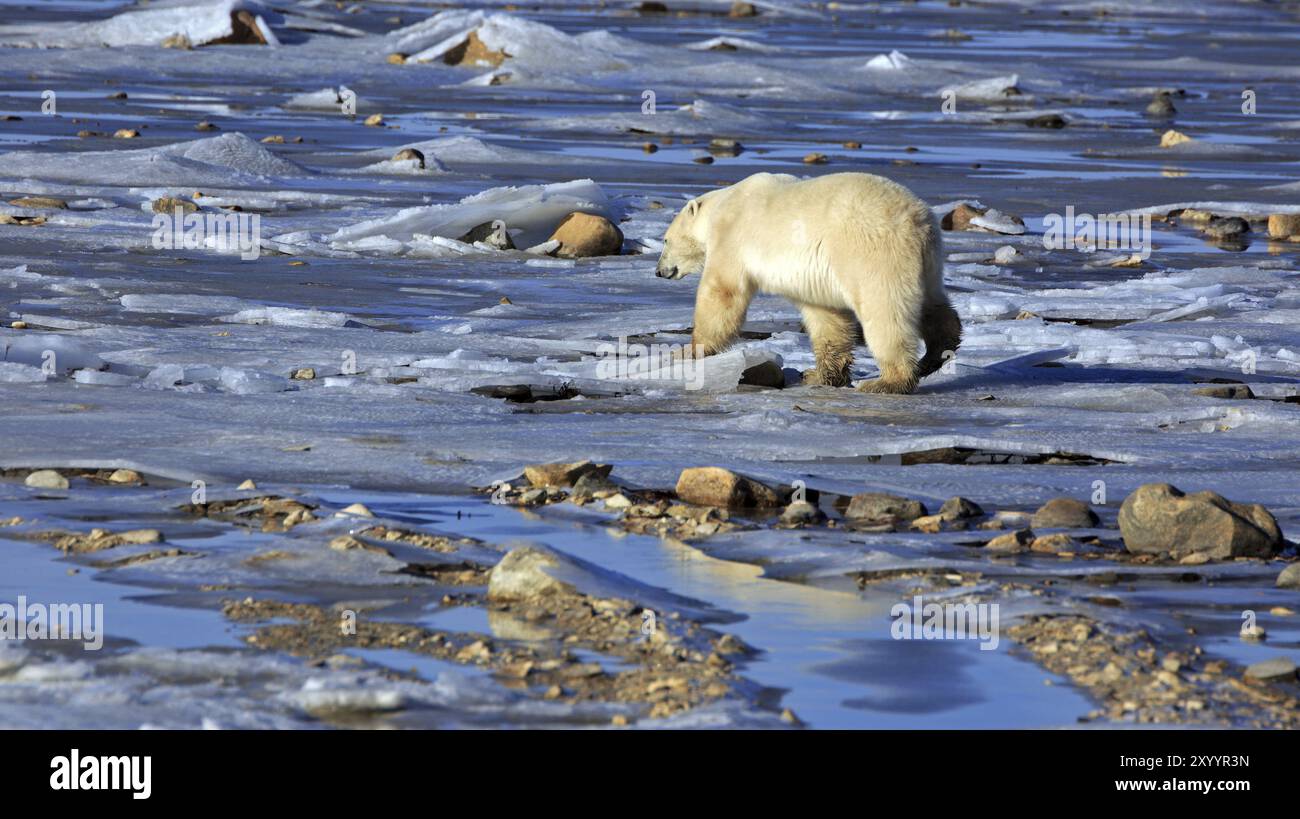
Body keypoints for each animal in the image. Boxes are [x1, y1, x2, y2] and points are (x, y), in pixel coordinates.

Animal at [655, 170, 961, 395]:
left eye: (665, 240)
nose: (659, 271)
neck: (722, 205)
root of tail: (918, 221)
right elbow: (827, 316)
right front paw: (817, 375)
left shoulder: (731, 236)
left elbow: (723, 291)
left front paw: (688, 350)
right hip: (928, 262)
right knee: (934, 305)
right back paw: (936, 354)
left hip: (873, 254)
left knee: (885, 312)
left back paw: (886, 382)